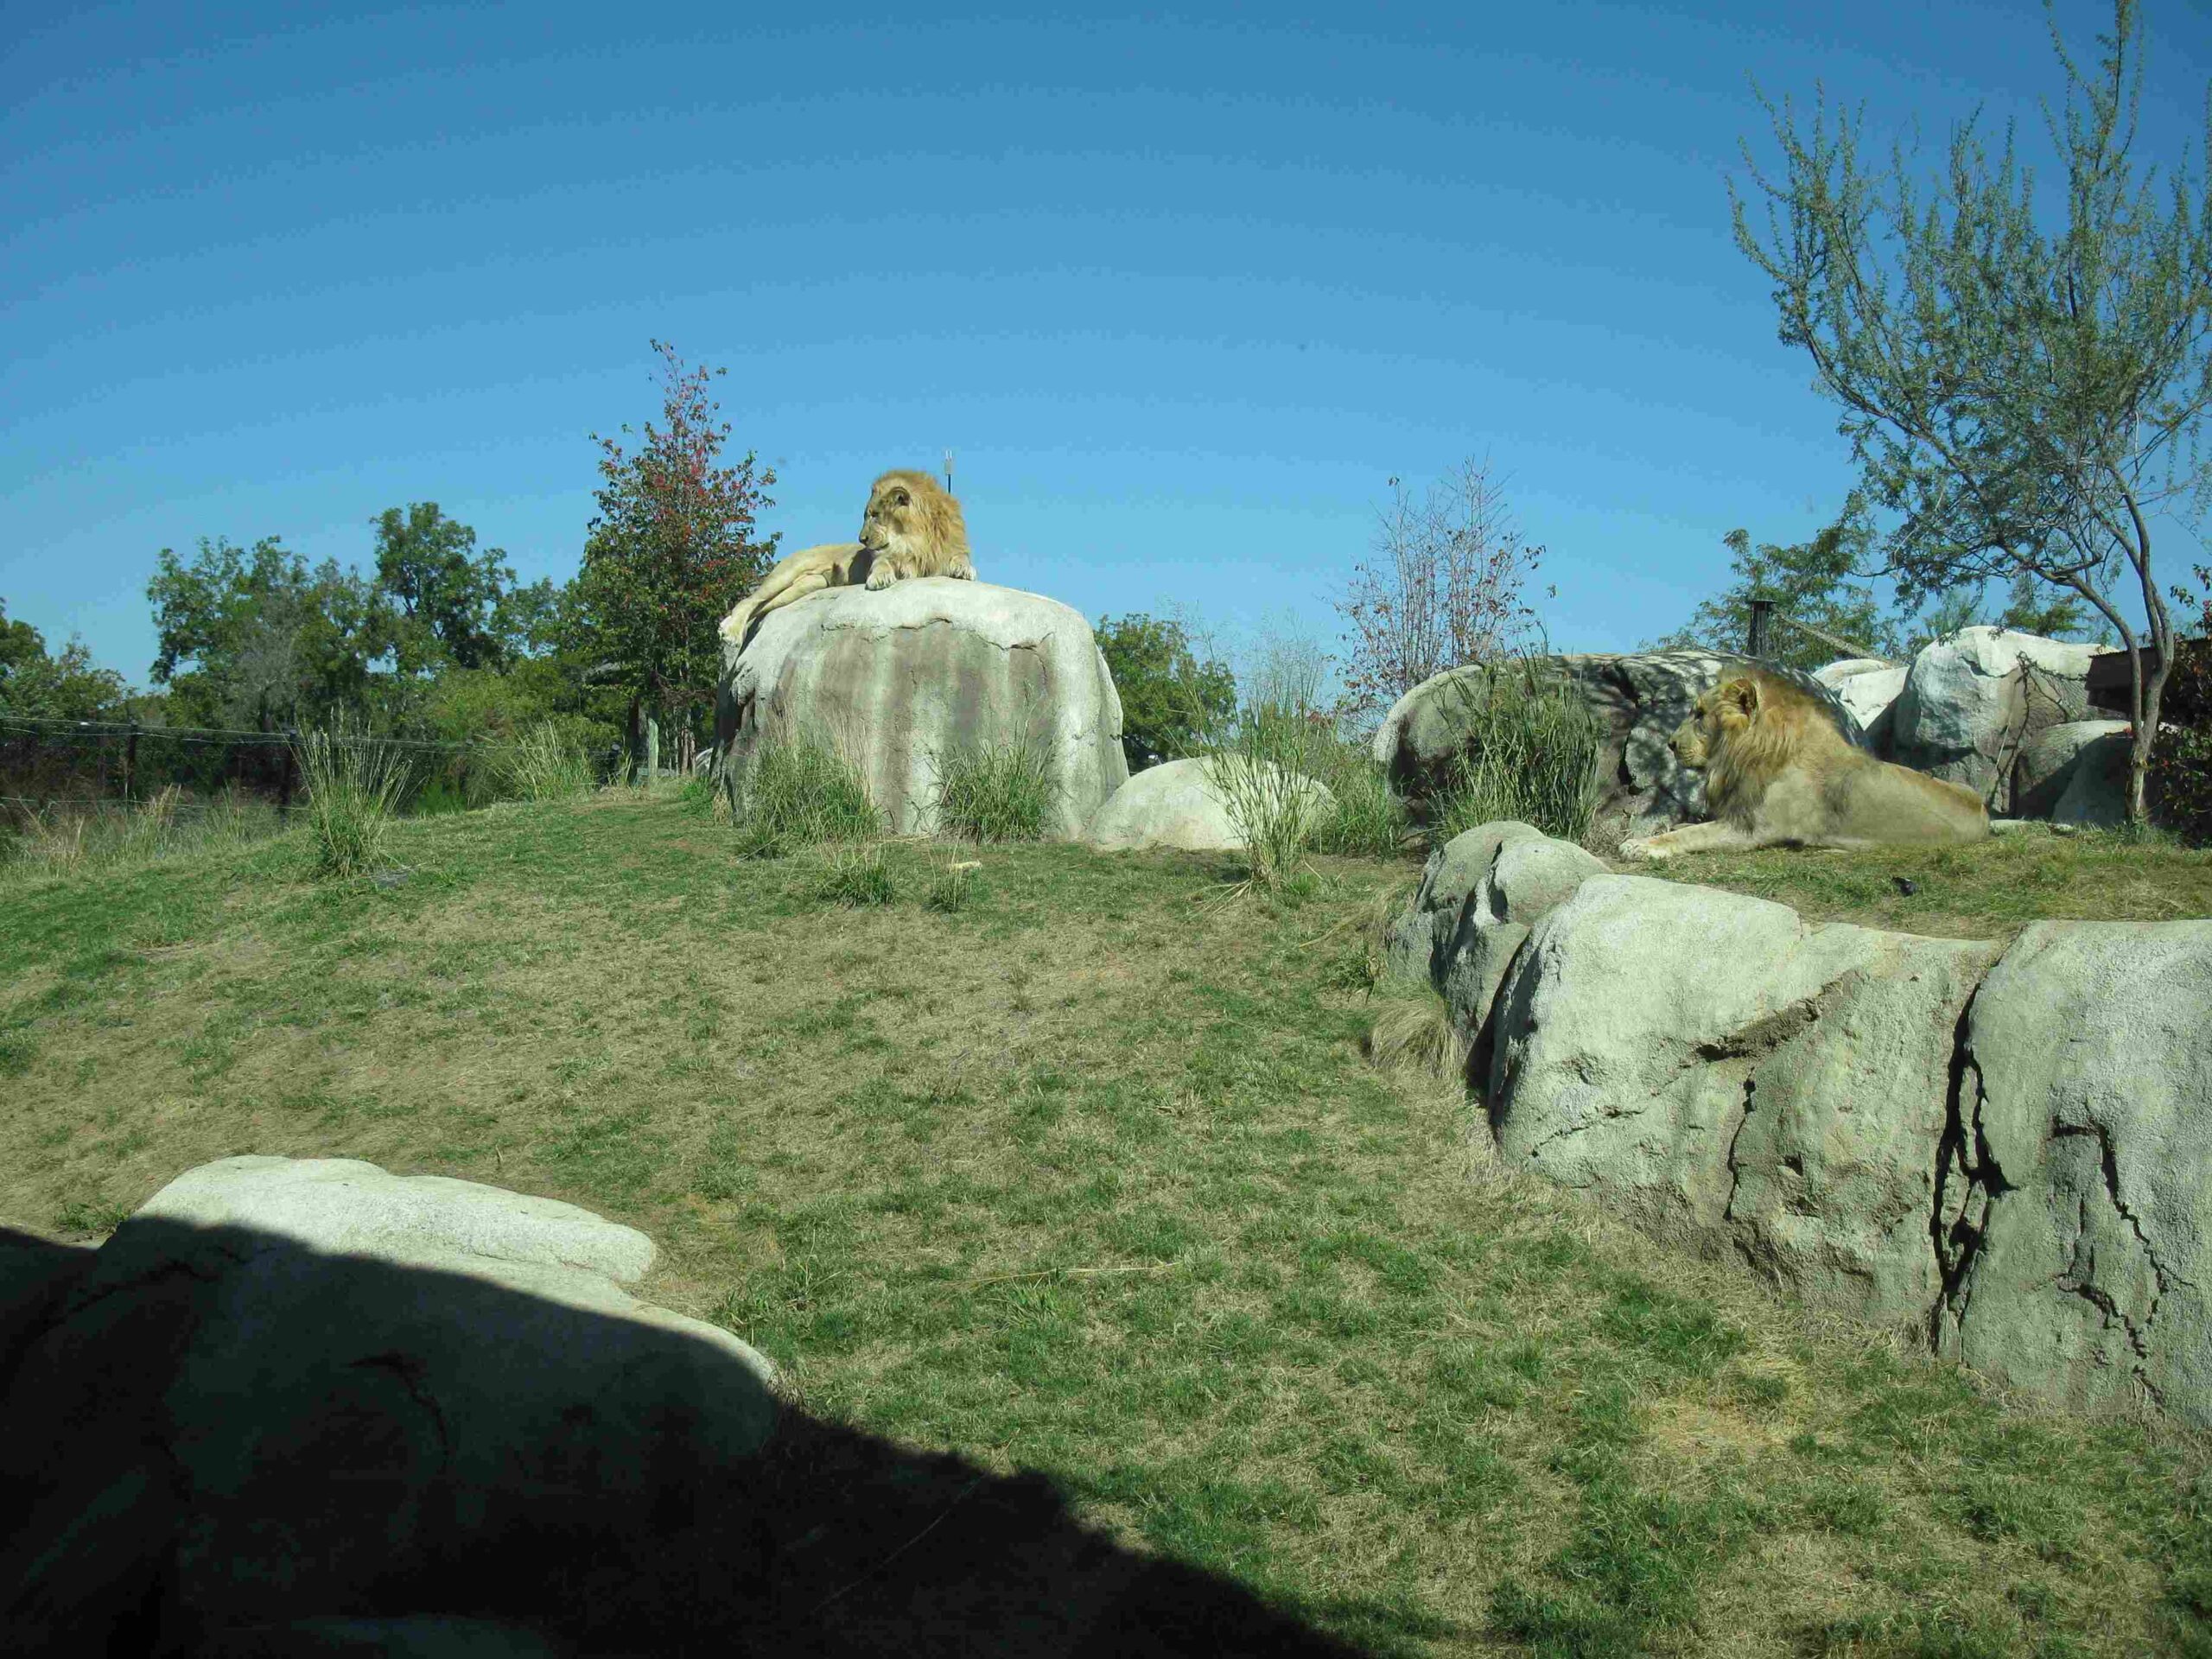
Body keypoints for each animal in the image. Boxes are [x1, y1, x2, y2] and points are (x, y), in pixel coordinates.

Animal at [721, 471, 973, 654]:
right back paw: (731, 632)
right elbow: (882, 564)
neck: (916, 540)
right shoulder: (885, 557)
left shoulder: (943, 555)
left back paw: (730, 627)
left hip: (805, 587)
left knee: (761, 606)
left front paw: (964, 570)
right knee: (748, 601)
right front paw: (880, 579)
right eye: (867, 515)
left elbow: (960, 557)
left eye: (875, 515)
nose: (862, 540)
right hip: (787, 572)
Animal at [1618, 668, 1999, 862]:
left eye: (1698, 714)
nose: (1669, 743)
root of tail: (1982, 811)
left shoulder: (1753, 828)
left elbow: (1690, 833)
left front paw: (1640, 846)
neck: (1746, 753)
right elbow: (1686, 827)